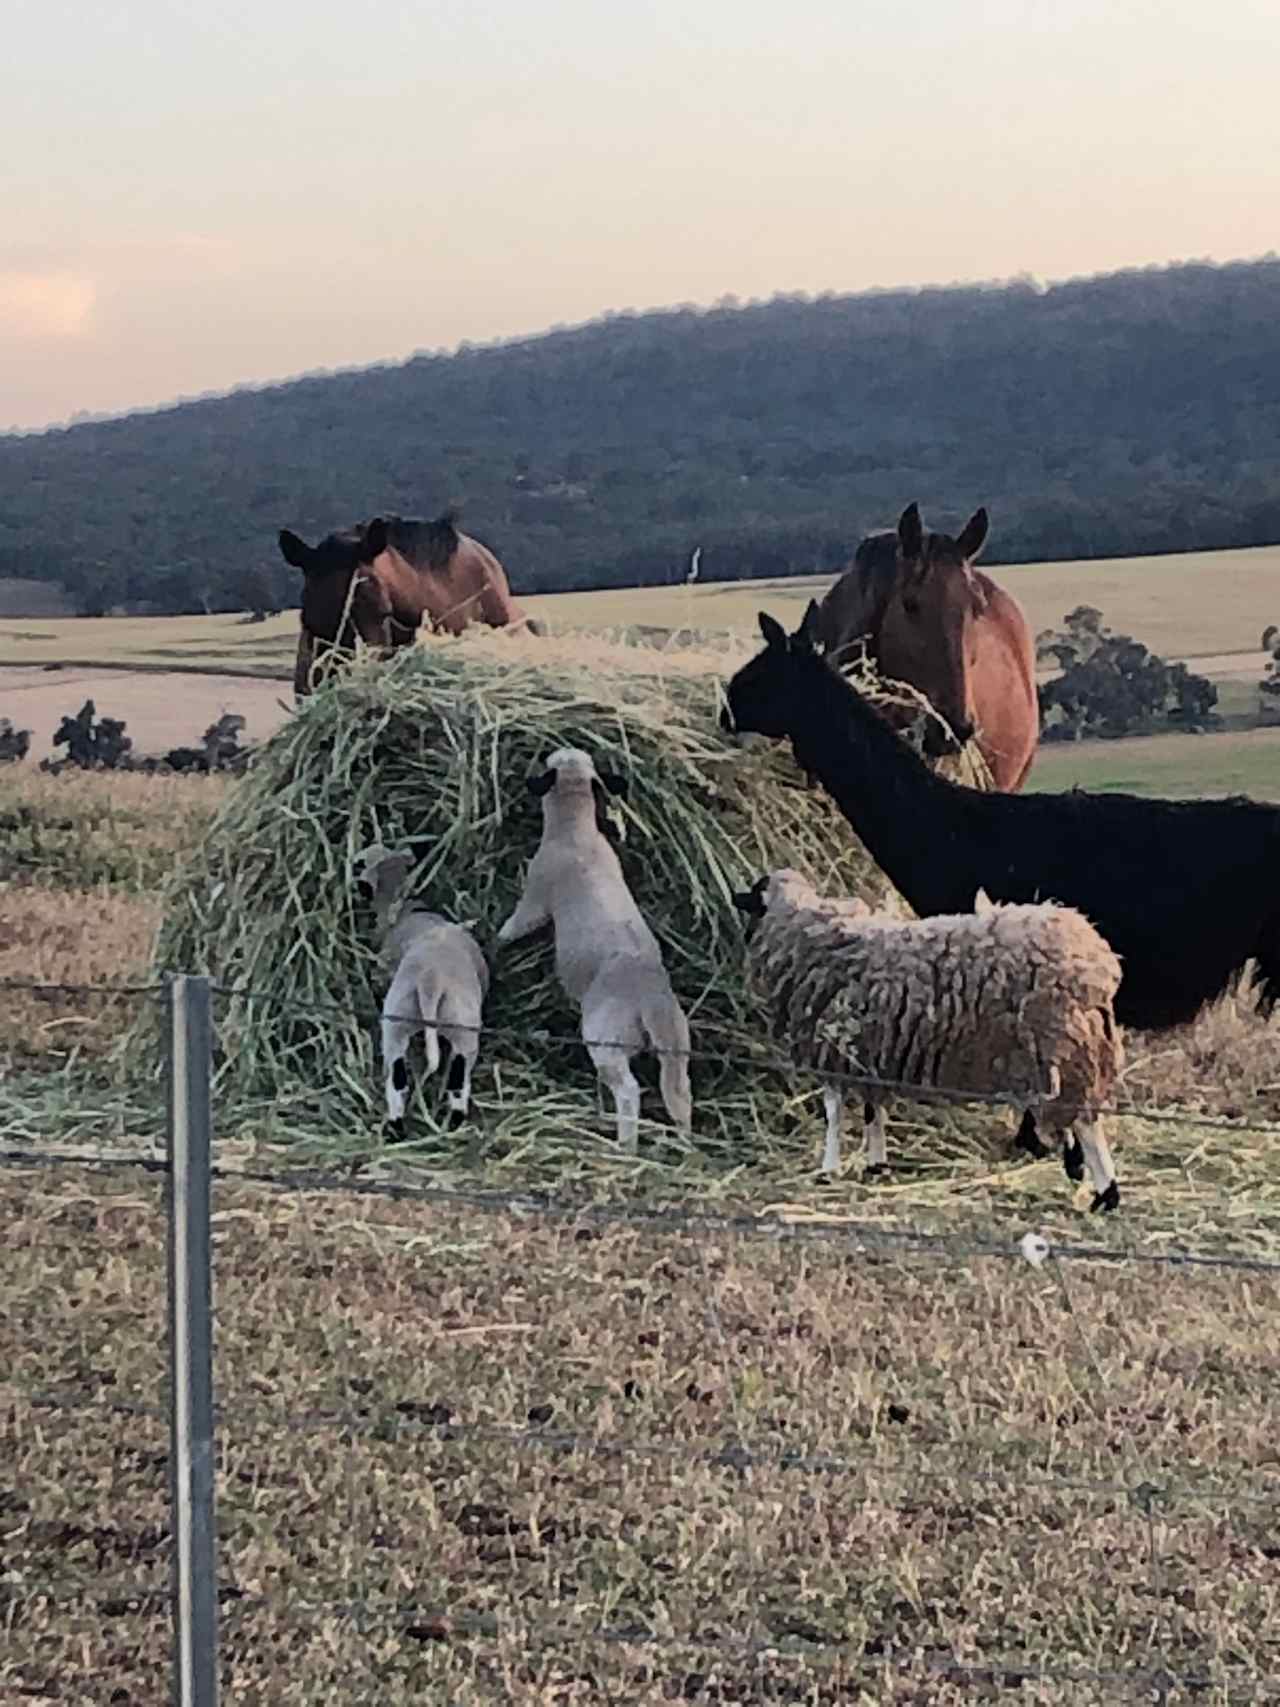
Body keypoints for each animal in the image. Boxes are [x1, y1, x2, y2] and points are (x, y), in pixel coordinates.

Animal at [351, 843, 491, 1133]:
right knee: (451, 1081)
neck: (404, 910)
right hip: (455, 1029)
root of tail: (431, 981)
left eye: (360, 861)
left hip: (402, 1023)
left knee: (401, 1080)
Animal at [494, 744, 692, 1147]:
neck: (575, 830)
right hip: (677, 1044)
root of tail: (650, 996)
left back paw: (625, 1145)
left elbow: (515, 926)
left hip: (605, 1038)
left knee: (629, 1090)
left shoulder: (535, 899)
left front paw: (494, 940)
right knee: (679, 1091)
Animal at [737, 867, 1126, 1215]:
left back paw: (1105, 1191)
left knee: (1086, 1123)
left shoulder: (832, 1052)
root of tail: (1098, 960)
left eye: (754, 897)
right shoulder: (874, 1054)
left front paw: (828, 1169)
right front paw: (877, 1165)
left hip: (1060, 1045)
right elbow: (873, 1111)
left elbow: (834, 1113)